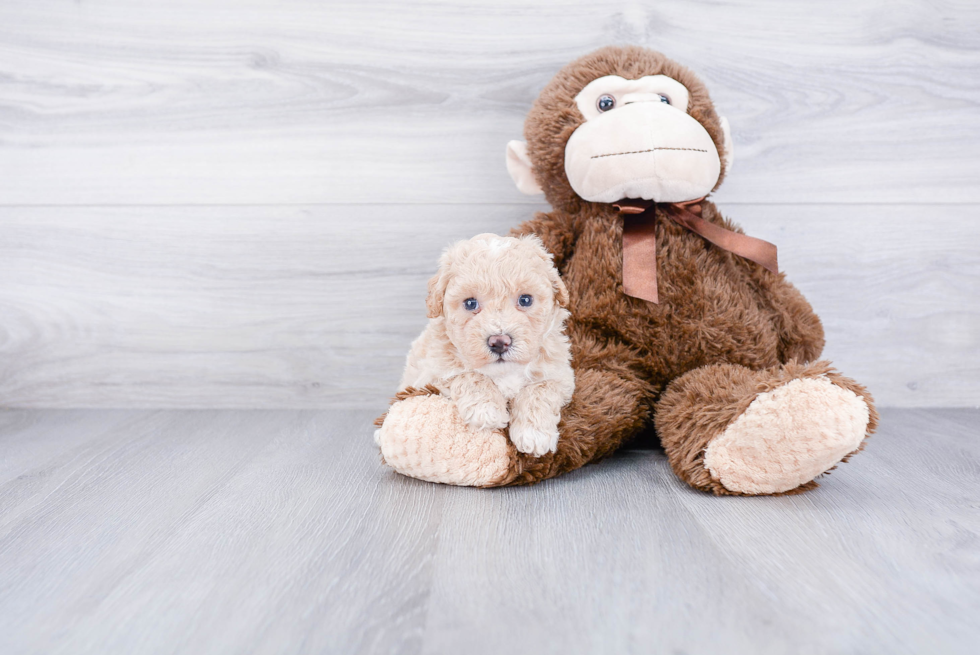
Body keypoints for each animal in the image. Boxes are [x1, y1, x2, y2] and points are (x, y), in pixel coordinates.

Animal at [396, 234, 572, 456]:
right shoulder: (432, 374)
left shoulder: (561, 376)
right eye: (470, 303)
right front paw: (486, 410)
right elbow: (468, 375)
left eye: (525, 300)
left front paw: (534, 434)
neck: (504, 373)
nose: (499, 342)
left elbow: (540, 390)